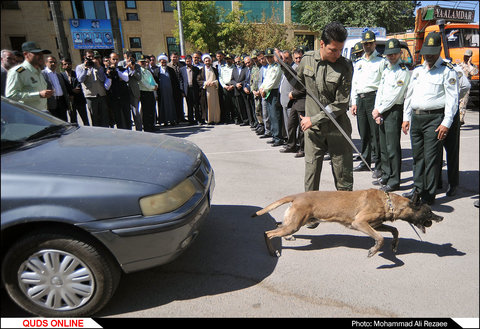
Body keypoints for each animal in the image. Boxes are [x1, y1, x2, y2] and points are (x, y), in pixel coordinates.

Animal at [253, 190, 444, 256]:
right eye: (428, 211)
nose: (441, 218)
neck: (388, 202)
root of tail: (298, 196)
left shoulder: (376, 225)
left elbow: (394, 230)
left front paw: (394, 246)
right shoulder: (360, 223)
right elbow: (381, 238)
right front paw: (374, 251)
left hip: (293, 224)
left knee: (278, 226)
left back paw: (287, 239)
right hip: (294, 224)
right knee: (268, 233)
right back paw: (272, 251)